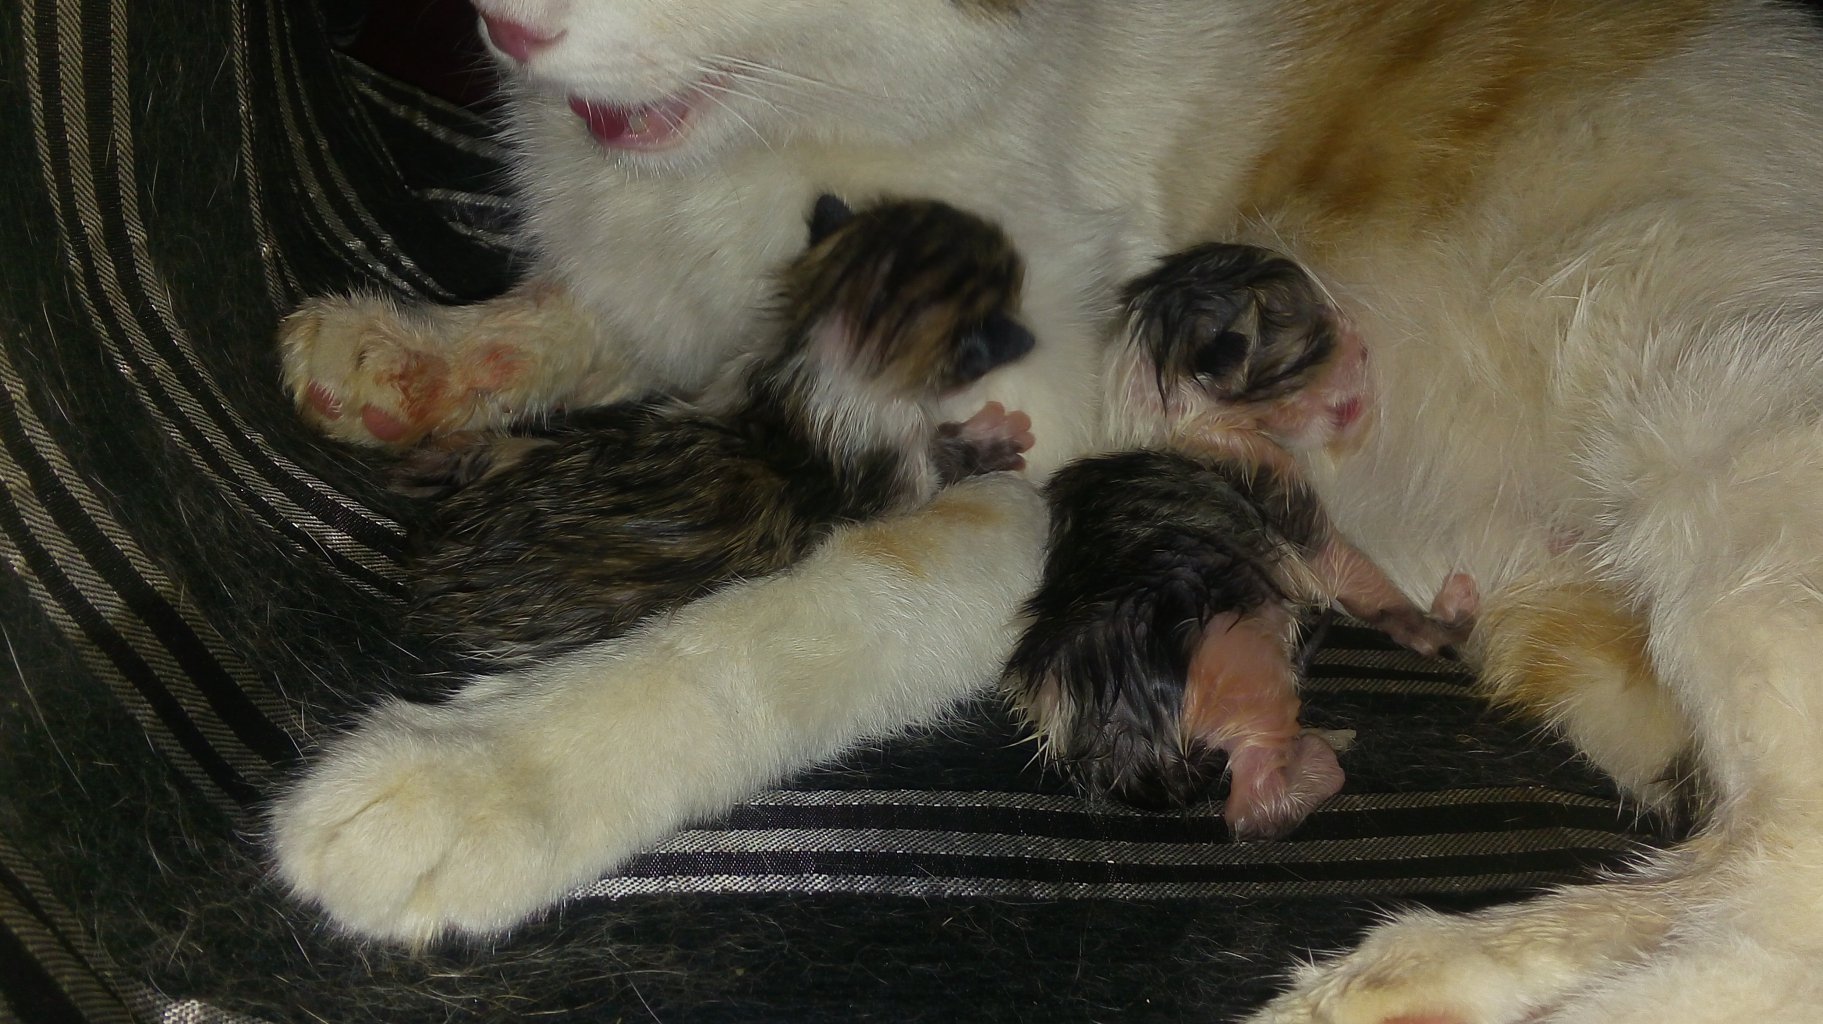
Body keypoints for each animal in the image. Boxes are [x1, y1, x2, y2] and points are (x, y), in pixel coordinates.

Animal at [271, 1, 1823, 1020]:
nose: (503, 26)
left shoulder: (1056, 471)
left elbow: (803, 615)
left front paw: (477, 777)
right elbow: (599, 312)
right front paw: (413, 347)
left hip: (1726, 418)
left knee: (1777, 917)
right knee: (1732, 861)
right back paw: (1413, 979)